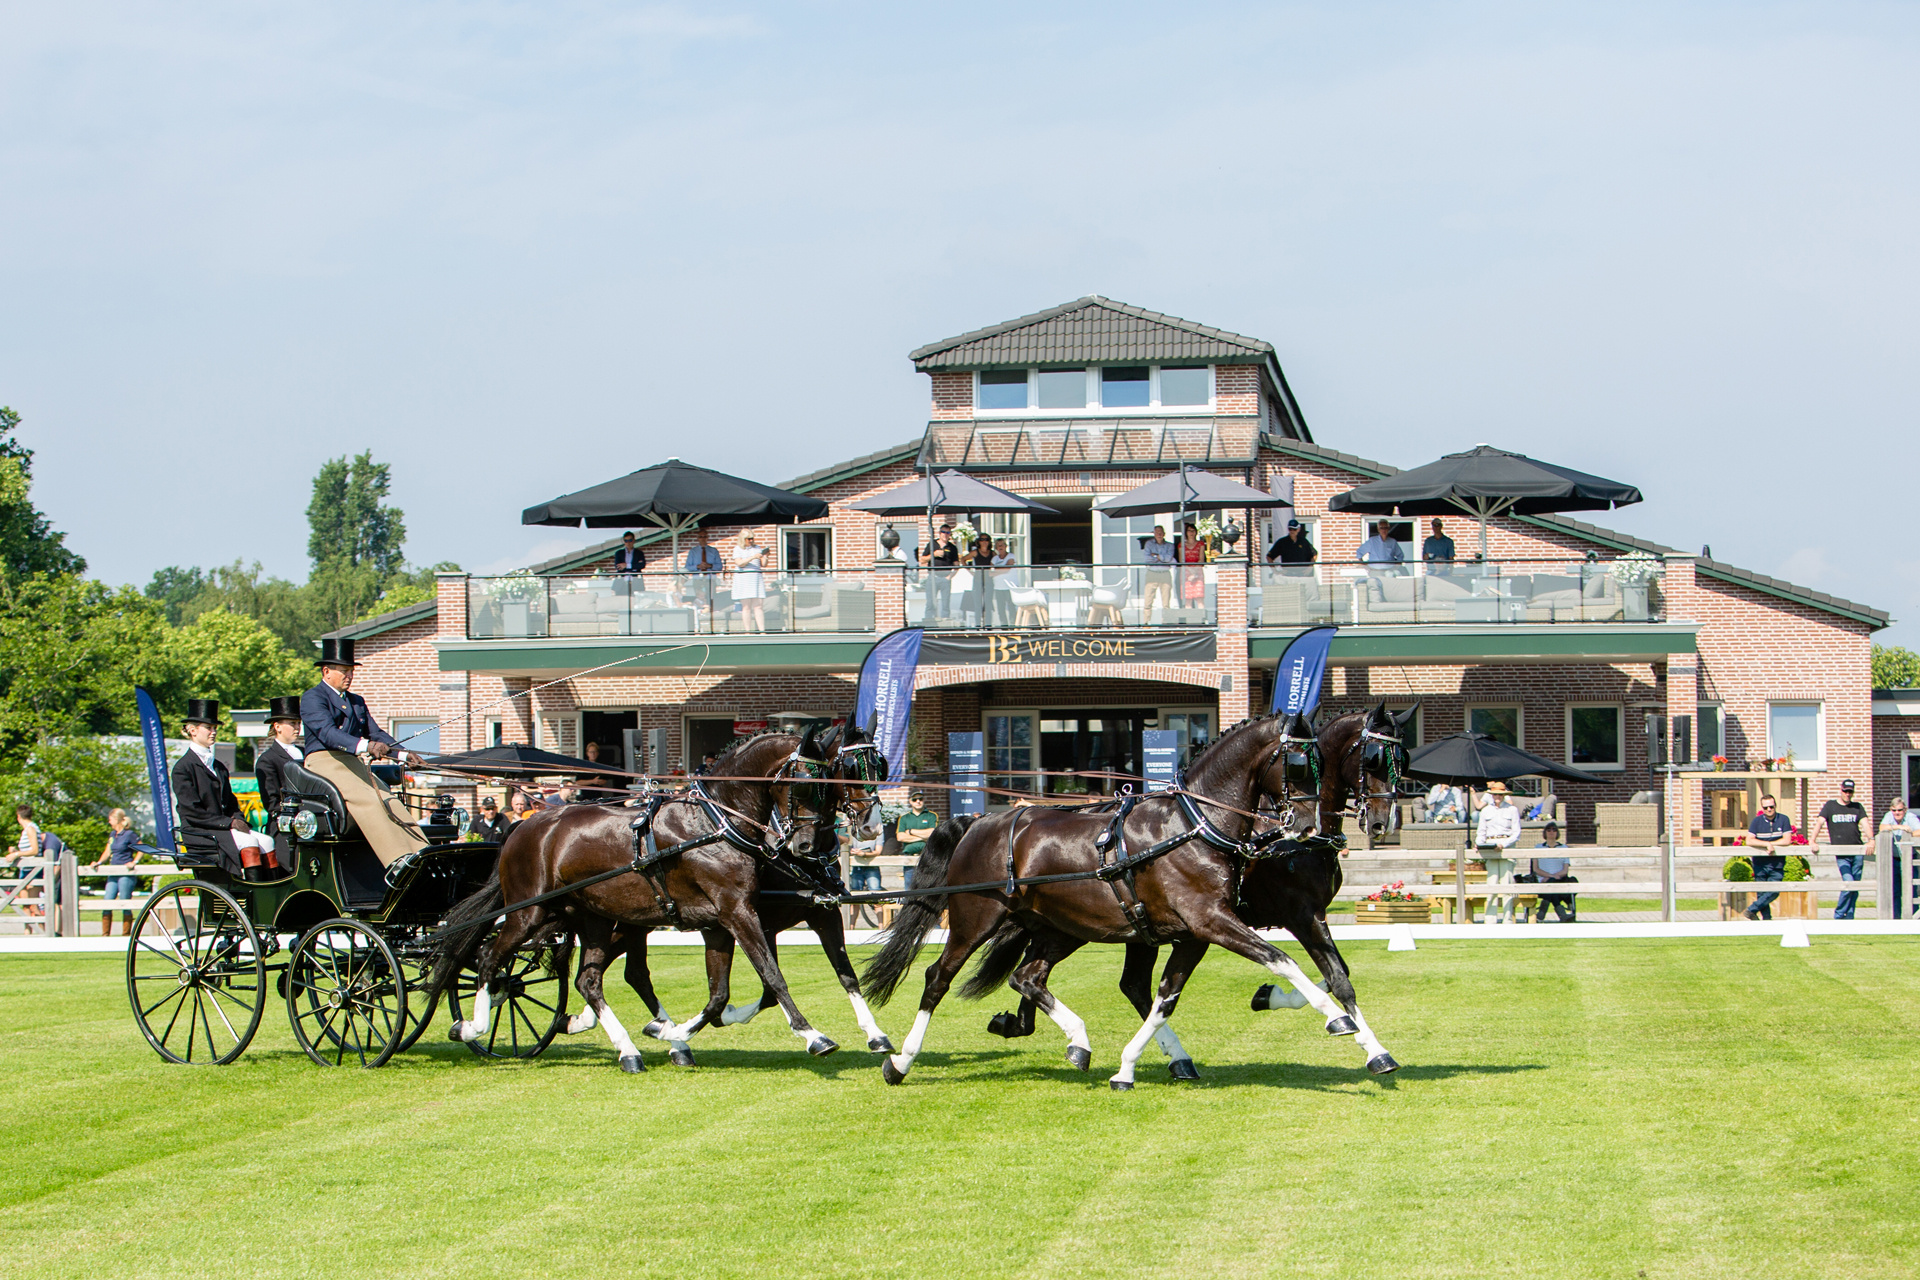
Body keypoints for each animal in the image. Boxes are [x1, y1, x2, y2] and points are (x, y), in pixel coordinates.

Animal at [428, 729, 856, 1074]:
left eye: (832, 784)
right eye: (806, 784)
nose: (805, 846)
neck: (713, 824)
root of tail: (521, 828)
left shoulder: (723, 920)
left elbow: (723, 994)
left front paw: (673, 1032)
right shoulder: (736, 913)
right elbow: (771, 975)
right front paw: (813, 1036)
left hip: (595, 918)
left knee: (591, 980)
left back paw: (633, 1049)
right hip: (529, 912)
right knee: (490, 960)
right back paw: (472, 1026)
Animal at [864, 710, 1405, 1090]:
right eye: (1298, 762)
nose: (1304, 827)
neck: (1195, 825)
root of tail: (982, 820)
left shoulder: (1201, 932)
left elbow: (1170, 996)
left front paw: (1375, 1050)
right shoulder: (1230, 920)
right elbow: (1288, 963)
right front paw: (1336, 1021)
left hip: (1068, 927)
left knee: (1032, 977)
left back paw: (1077, 1042)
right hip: (976, 919)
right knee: (938, 979)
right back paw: (900, 1061)